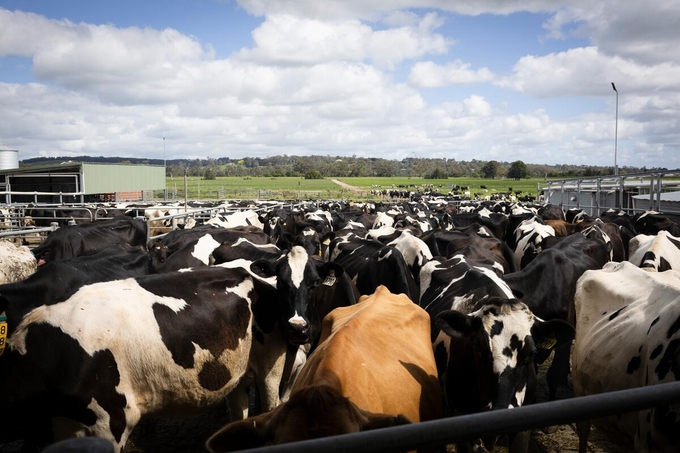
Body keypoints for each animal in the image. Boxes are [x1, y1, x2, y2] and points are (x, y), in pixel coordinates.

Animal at [0, 266, 286, 450]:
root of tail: (246, 273)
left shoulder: (110, 423)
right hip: (235, 374)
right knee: (239, 413)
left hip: (271, 368)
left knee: (270, 405)